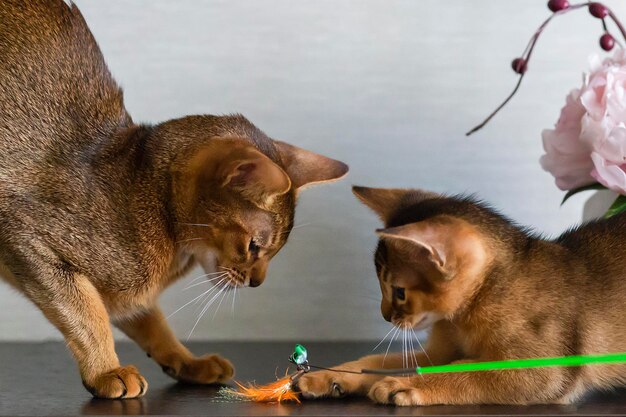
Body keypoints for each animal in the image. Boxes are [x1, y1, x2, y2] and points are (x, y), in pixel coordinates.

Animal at [0, 0, 346, 398]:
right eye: (254, 246)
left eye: (276, 251)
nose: (257, 282)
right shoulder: (29, 240)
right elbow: (88, 316)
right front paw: (106, 371)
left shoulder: (128, 295)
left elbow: (150, 321)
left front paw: (187, 361)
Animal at [298, 187, 624, 404]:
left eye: (399, 292)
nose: (385, 315)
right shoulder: (439, 351)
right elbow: (378, 359)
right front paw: (329, 375)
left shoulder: (543, 371)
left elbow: (468, 371)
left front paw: (408, 385)